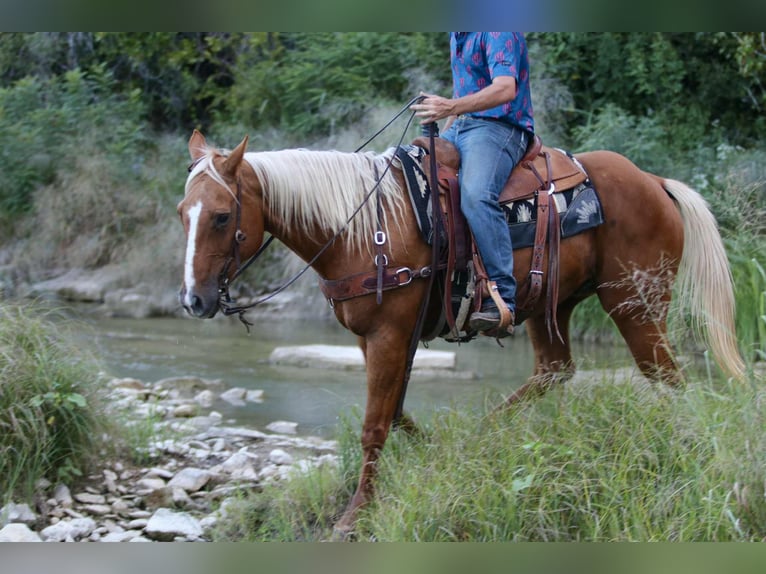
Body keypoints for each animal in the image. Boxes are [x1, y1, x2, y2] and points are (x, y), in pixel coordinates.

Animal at [177, 128, 744, 534]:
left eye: (223, 216)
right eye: (184, 213)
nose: (193, 300)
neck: (363, 228)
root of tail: (655, 181)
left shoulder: (388, 334)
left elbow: (374, 425)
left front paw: (354, 516)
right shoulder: (379, 338)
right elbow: (397, 412)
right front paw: (433, 455)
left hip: (635, 304)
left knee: (667, 378)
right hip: (553, 305)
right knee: (555, 370)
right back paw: (476, 439)